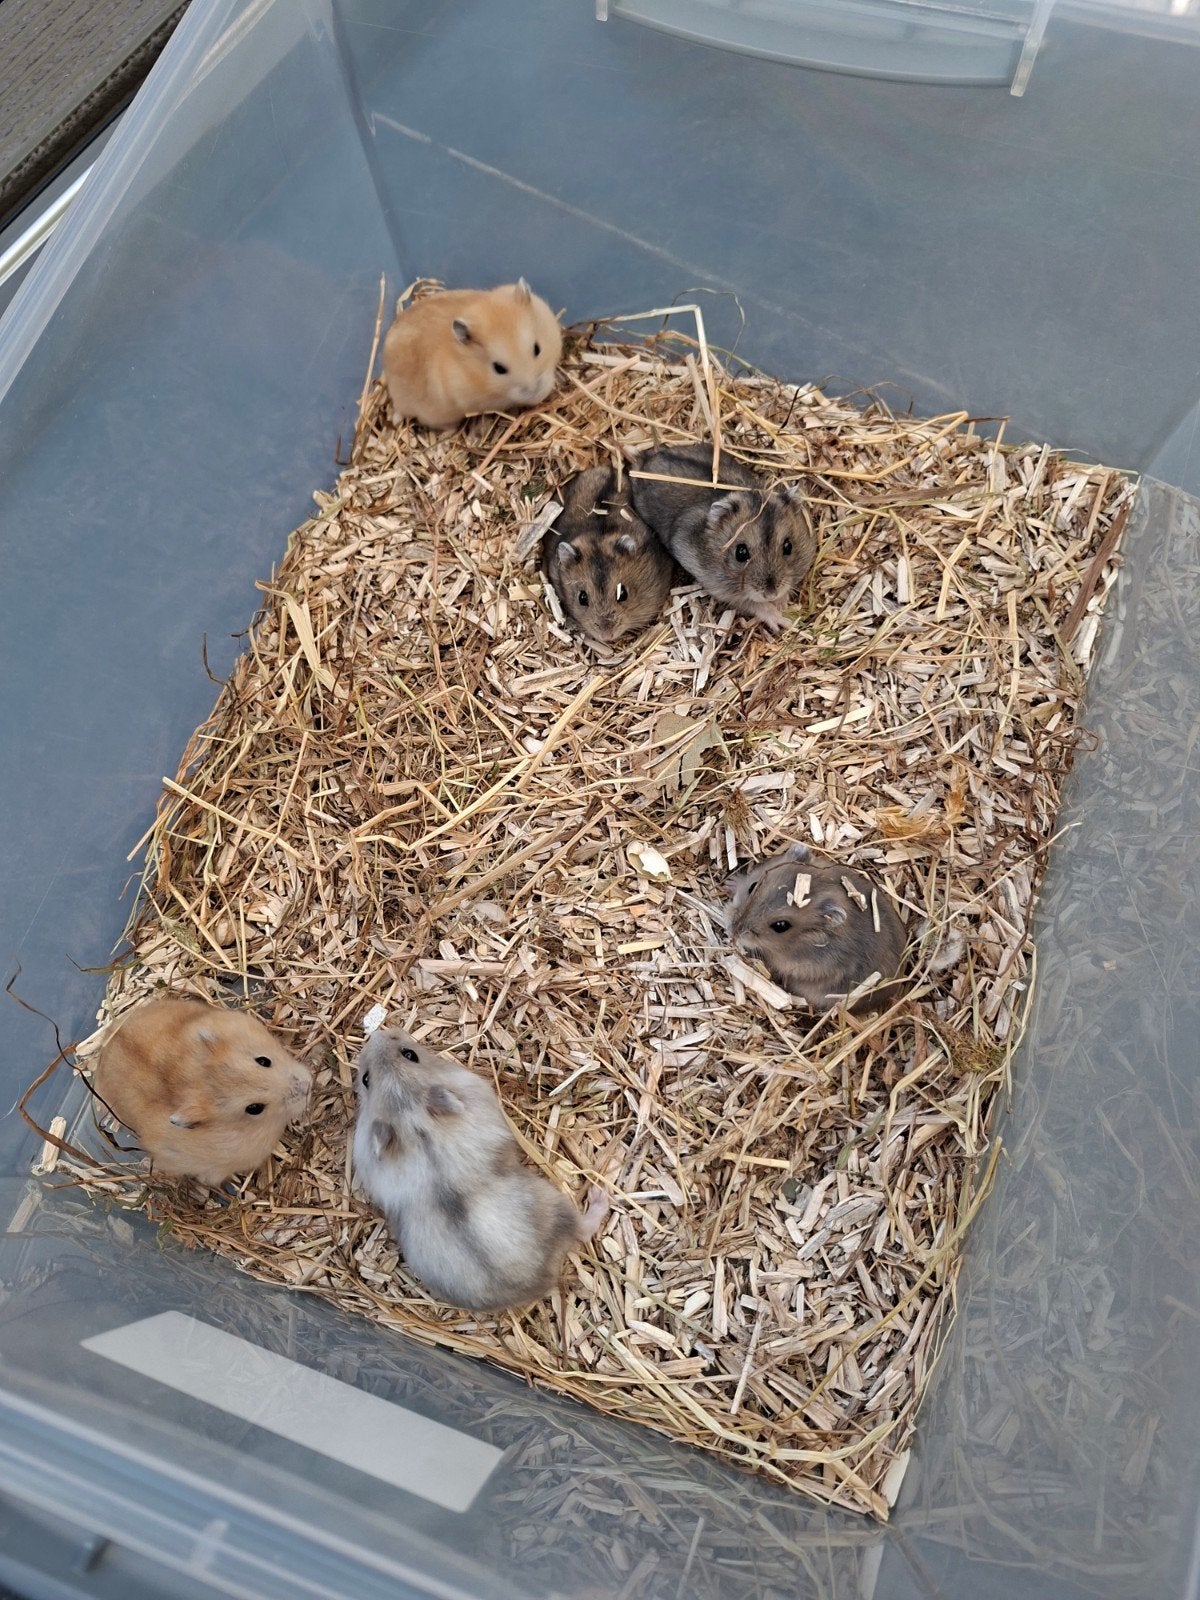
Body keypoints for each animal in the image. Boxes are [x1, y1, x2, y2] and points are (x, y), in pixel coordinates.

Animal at [352, 1026, 608, 1311]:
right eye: (365, 1079)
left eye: (409, 1054)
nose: (377, 1034)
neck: (415, 1124)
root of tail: (541, 1282)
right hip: (555, 1203)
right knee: (583, 1230)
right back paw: (600, 1194)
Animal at [629, 442, 816, 631]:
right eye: (741, 553)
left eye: (788, 547)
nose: (770, 594)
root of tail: (647, 457)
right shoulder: (719, 587)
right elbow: (752, 603)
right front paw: (781, 620)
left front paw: (782, 602)